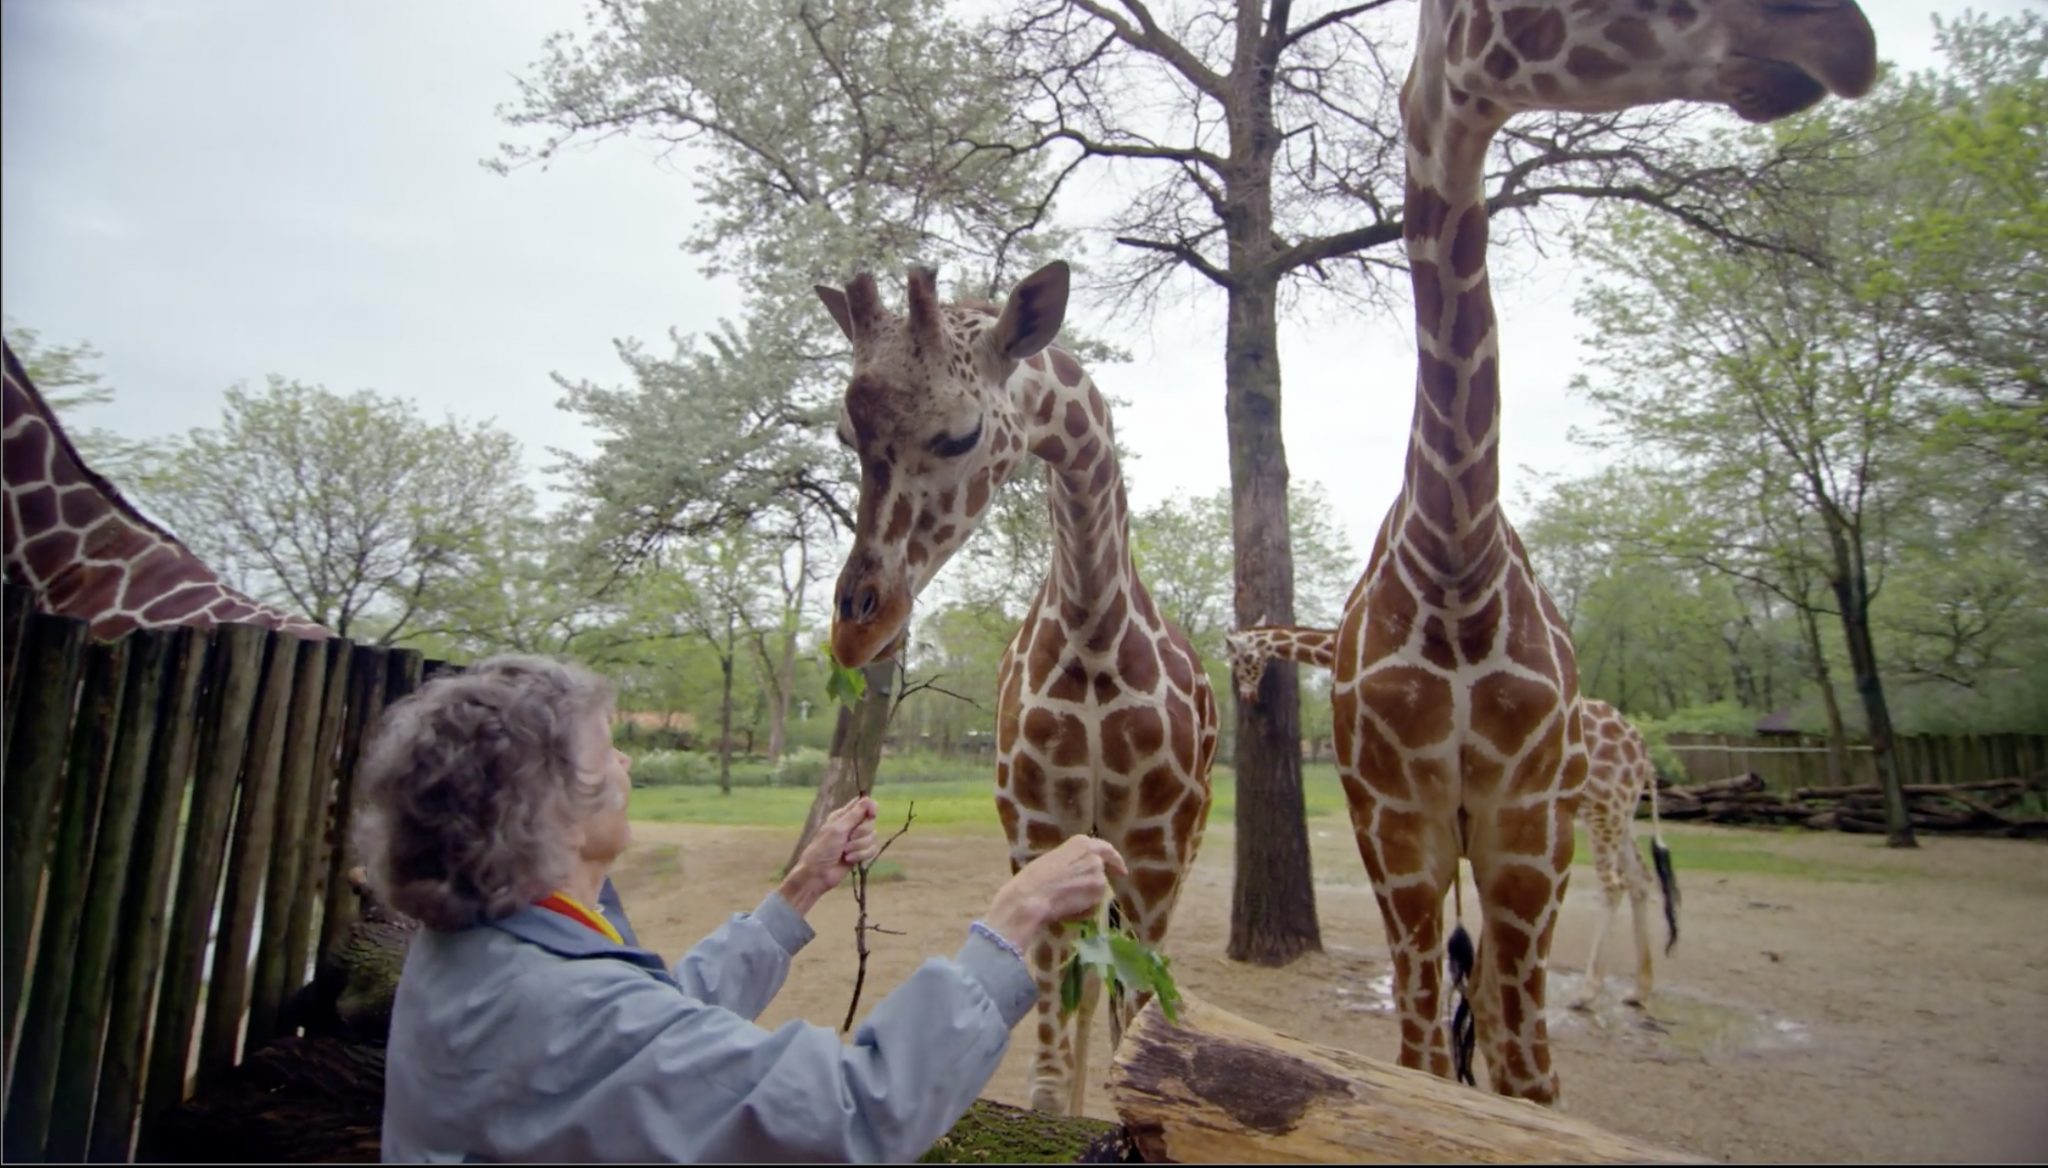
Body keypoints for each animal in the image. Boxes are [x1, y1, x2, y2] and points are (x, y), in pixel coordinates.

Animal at [814, 262, 1218, 1116]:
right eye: (844, 436)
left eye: (962, 433)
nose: (858, 627)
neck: (1095, 631)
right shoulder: (1036, 829)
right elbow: (1046, 1056)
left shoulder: (1155, 851)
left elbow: (1140, 1021)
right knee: (1087, 987)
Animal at [1574, 697, 1677, 1010]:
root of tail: (1643, 753)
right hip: (1622, 813)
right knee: (1639, 876)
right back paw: (1639, 990)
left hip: (1603, 809)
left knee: (1613, 884)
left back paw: (1588, 991)